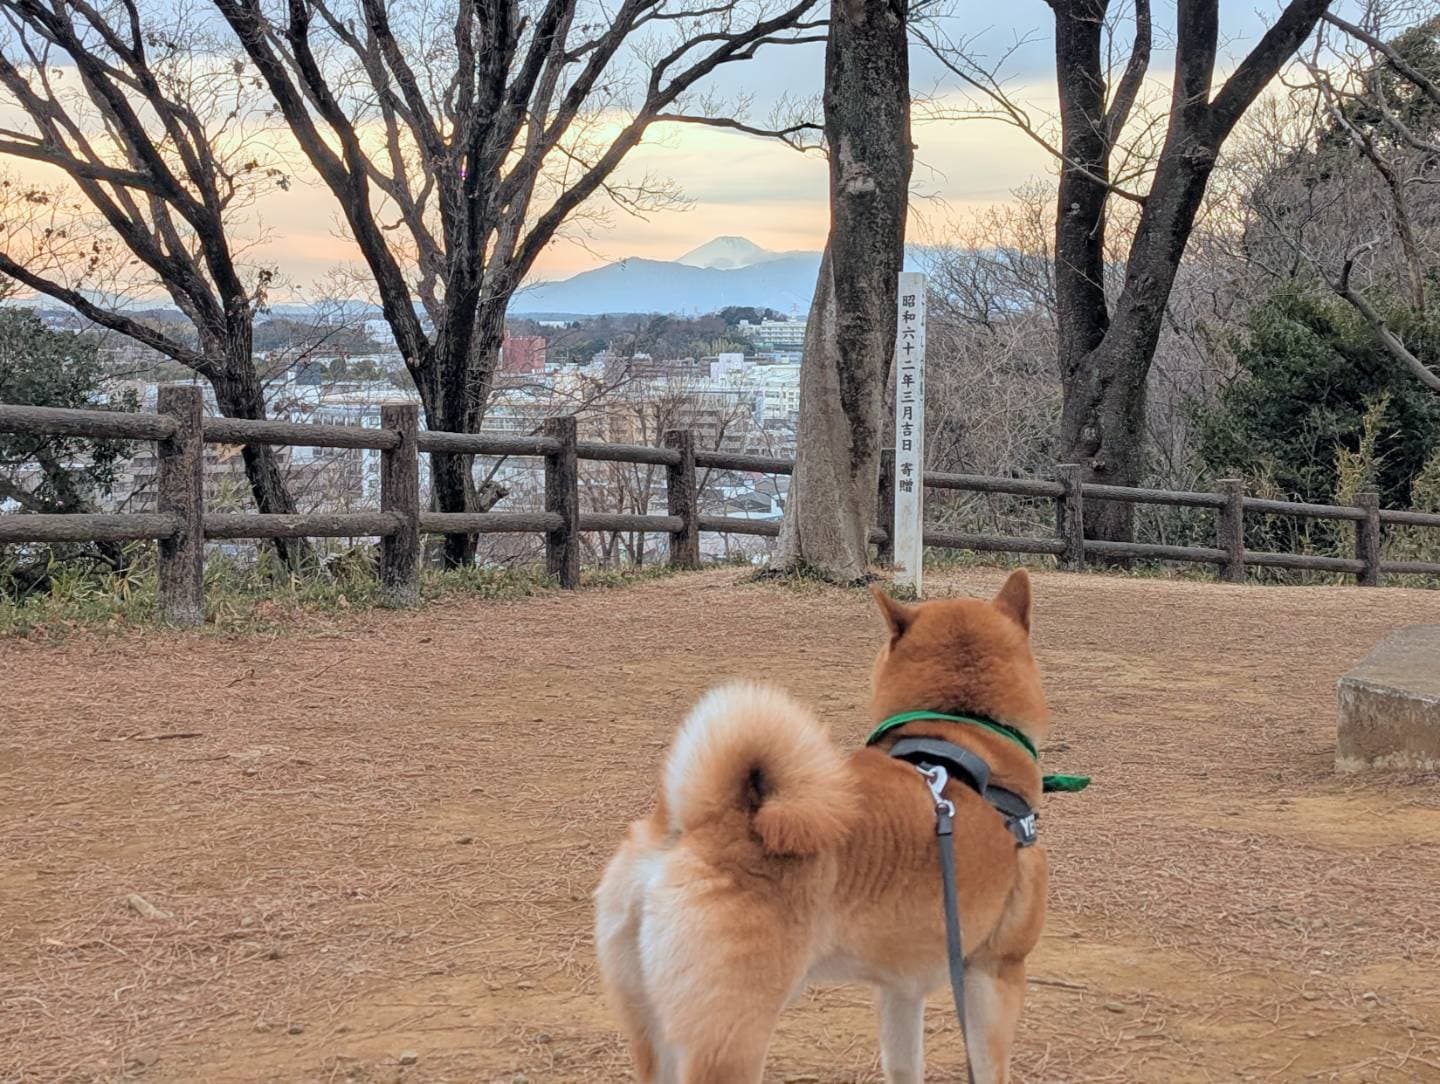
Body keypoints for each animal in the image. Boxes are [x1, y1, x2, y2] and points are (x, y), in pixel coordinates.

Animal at [594, 569, 1050, 1083]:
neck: (963, 734)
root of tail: (699, 822)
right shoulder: (995, 973)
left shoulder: (900, 988)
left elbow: (904, 1064)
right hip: (731, 1042)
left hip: (653, 1032)